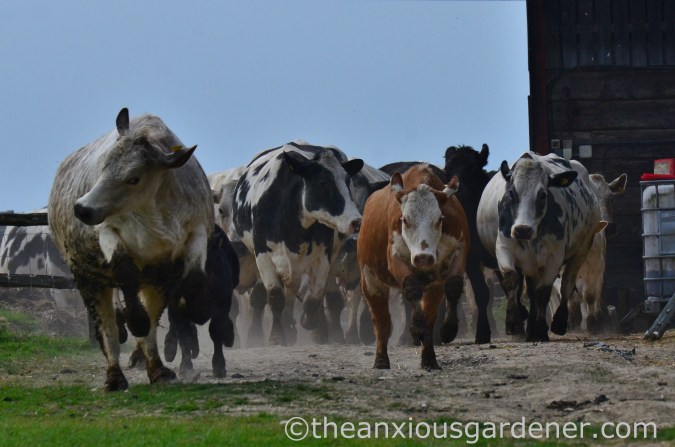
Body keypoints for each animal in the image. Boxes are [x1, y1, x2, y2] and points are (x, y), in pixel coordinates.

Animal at [48, 108, 214, 391]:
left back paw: (157, 369)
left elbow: (195, 278)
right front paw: (135, 319)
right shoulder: (107, 231)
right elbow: (124, 268)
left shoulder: (196, 232)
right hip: (90, 280)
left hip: (154, 281)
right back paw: (115, 375)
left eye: (133, 178)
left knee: (150, 329)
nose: (82, 208)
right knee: (108, 331)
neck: (156, 209)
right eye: (104, 165)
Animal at [232, 141, 363, 346]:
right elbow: (275, 297)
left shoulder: (323, 257)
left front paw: (308, 322)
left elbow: (313, 299)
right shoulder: (263, 256)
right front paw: (277, 337)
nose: (356, 221)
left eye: (347, 181)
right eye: (323, 183)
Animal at [358, 164, 469, 369]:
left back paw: (430, 360)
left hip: (433, 285)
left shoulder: (460, 251)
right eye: (405, 220)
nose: (423, 258)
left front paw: (449, 329)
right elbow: (412, 287)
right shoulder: (395, 257)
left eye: (439, 219)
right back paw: (381, 360)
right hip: (370, 280)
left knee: (430, 316)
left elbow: (453, 286)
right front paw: (417, 327)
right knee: (382, 321)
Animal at [476, 152, 603, 342]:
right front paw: (514, 323)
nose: (522, 229)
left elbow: (543, 292)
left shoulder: (554, 258)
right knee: (532, 292)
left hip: (581, 251)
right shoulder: (504, 249)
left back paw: (559, 322)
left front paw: (541, 330)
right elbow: (512, 281)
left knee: (567, 282)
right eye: (511, 193)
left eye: (543, 194)